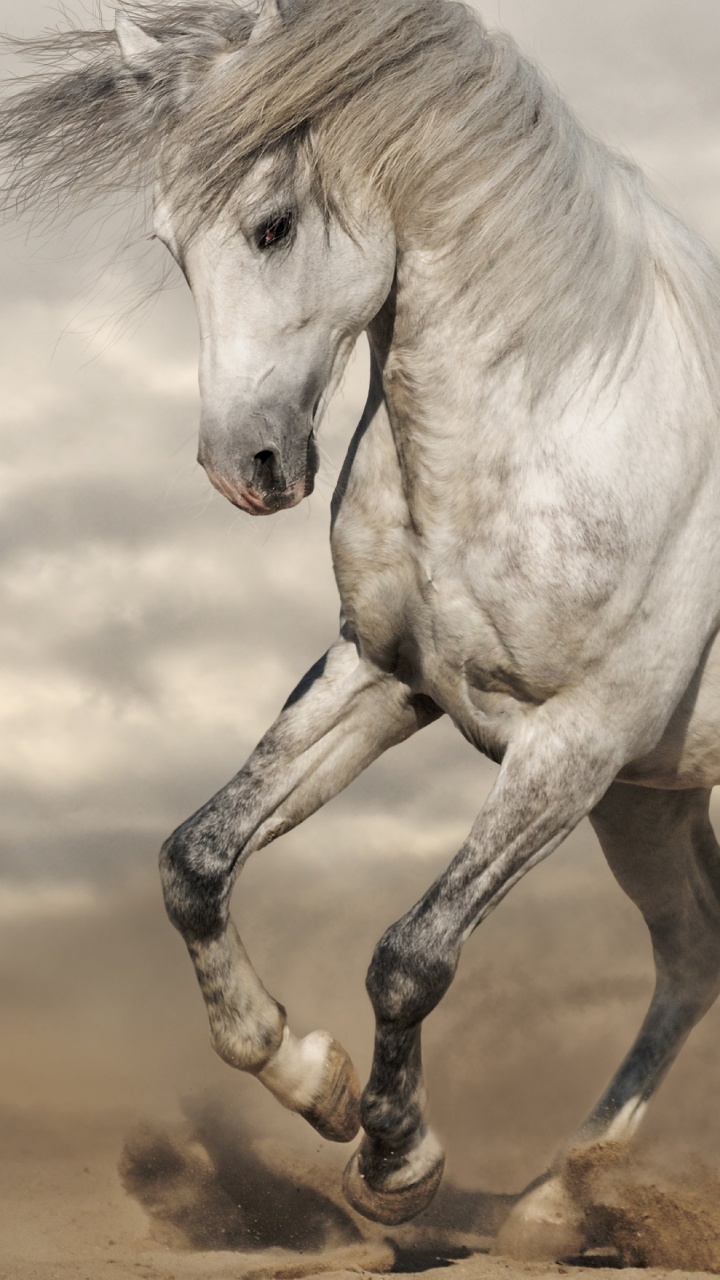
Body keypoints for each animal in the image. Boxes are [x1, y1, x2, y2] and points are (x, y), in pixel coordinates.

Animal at [5, 0, 720, 1257]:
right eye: (168, 243)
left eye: (272, 224)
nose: (243, 466)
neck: (564, 409)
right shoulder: (386, 678)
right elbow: (194, 860)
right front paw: (311, 1074)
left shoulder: (573, 744)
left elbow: (412, 953)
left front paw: (395, 1160)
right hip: (650, 801)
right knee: (693, 950)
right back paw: (551, 1202)